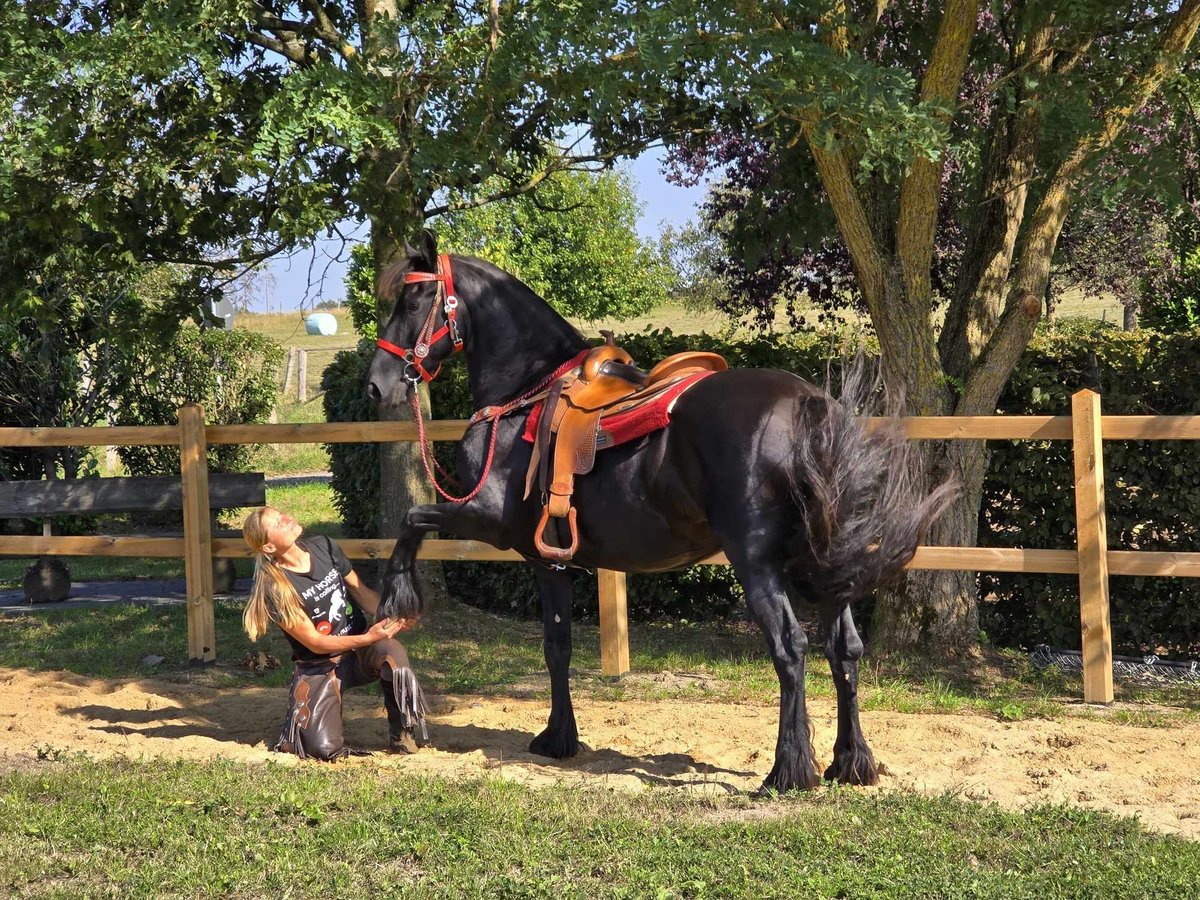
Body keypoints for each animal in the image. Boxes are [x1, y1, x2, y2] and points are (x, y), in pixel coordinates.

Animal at [367, 230, 955, 787]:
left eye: (415, 299)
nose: (376, 385)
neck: (526, 394)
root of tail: (807, 403)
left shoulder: (495, 524)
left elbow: (412, 521)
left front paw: (396, 599)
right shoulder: (552, 561)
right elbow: (558, 646)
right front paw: (560, 737)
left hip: (757, 563)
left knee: (790, 649)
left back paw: (788, 770)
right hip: (823, 562)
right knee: (844, 649)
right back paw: (850, 761)